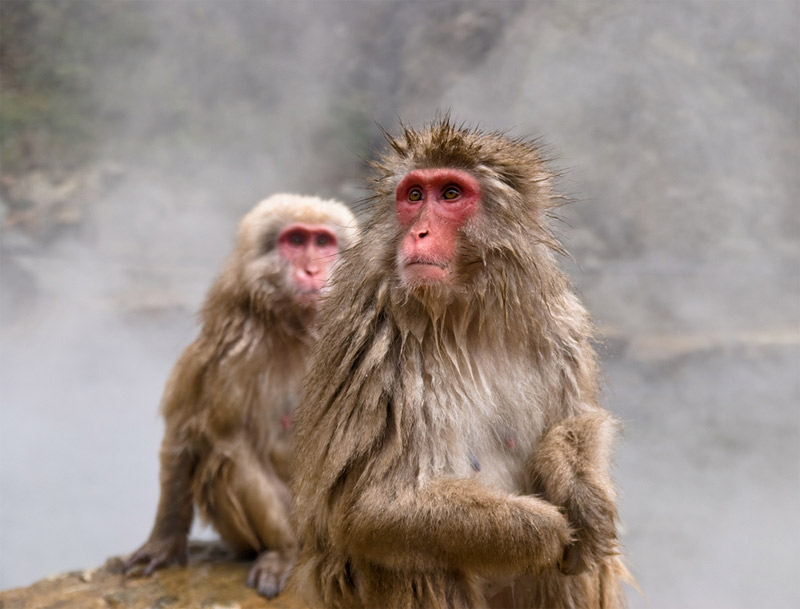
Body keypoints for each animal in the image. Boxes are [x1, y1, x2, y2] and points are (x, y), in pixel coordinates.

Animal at [124, 194, 356, 600]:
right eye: (296, 241)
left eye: (323, 242)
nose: (312, 270)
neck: (300, 329)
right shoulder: (228, 346)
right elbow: (187, 432)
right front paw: (163, 544)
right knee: (226, 452)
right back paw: (286, 553)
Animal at [288, 120, 632, 608]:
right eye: (414, 196)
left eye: (450, 193)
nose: (419, 233)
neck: (467, 313)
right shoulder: (372, 338)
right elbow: (373, 506)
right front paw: (548, 529)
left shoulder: (561, 322)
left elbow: (578, 418)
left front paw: (585, 499)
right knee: (419, 561)